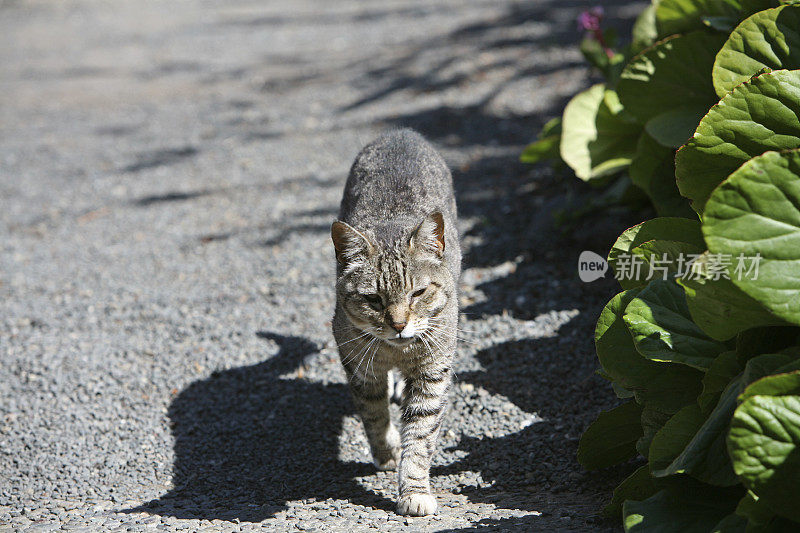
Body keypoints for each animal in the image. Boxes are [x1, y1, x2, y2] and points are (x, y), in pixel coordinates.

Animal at [330, 129, 460, 516]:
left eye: (418, 293)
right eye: (374, 299)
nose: (400, 324)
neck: (396, 352)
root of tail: (401, 132)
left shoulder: (433, 371)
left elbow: (420, 435)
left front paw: (414, 490)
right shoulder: (358, 366)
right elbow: (373, 416)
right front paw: (387, 452)